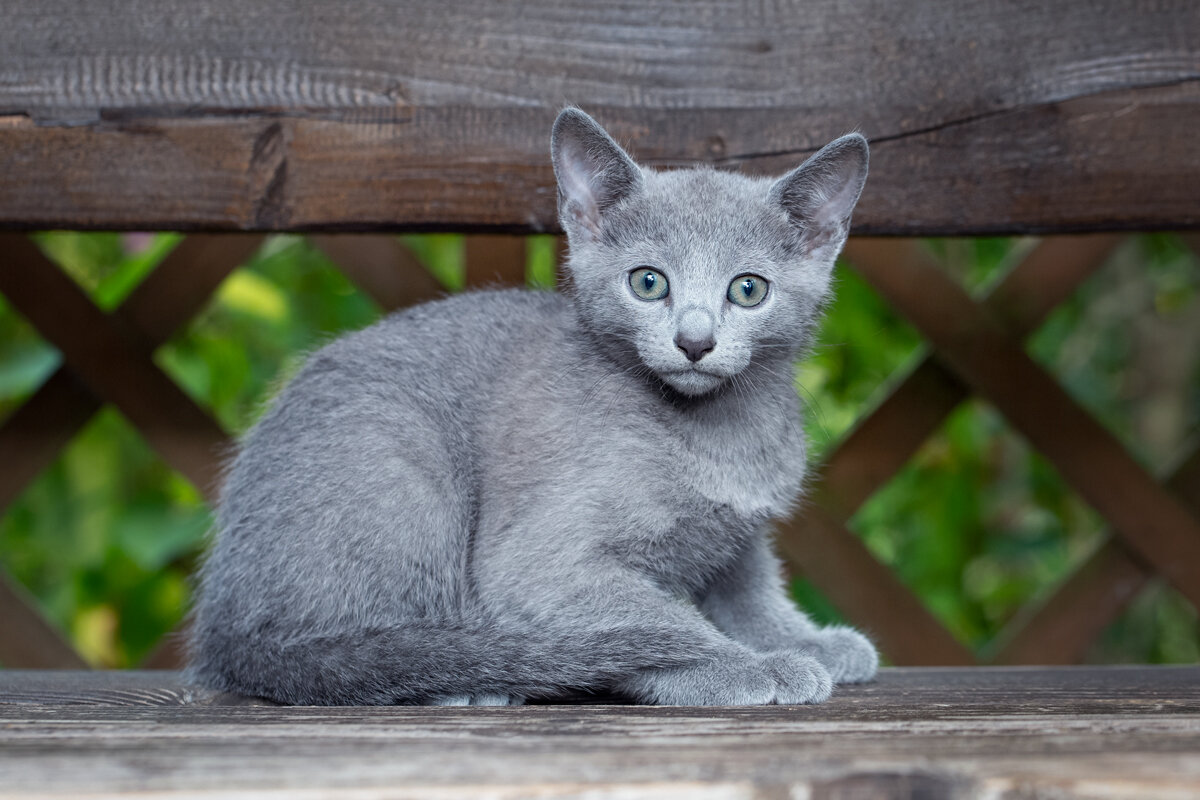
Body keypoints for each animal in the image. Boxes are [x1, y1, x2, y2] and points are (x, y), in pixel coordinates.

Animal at [189, 107, 883, 705]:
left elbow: (752, 591)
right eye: (648, 282)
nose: (694, 341)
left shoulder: (740, 535)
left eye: (748, 290)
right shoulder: (541, 566)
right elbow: (662, 621)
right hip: (402, 468)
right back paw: (465, 681)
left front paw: (805, 641)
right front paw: (747, 666)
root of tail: (224, 626)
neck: (719, 432)